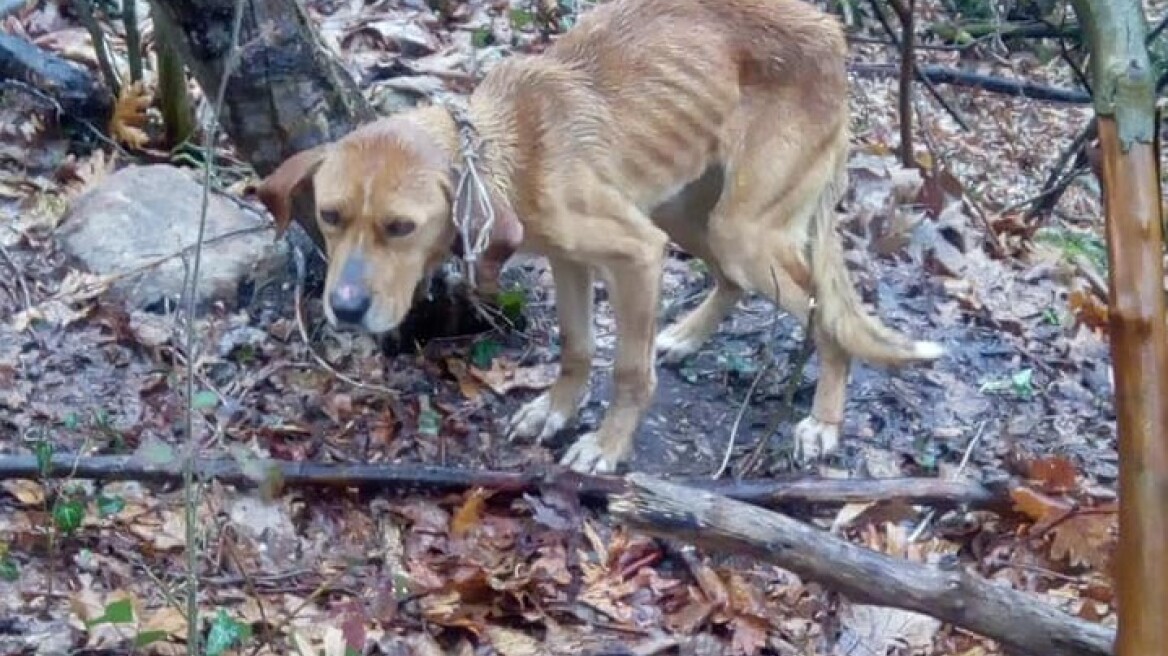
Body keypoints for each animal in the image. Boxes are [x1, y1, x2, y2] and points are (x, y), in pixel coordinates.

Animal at [253, 0, 939, 471]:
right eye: (331, 216)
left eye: (401, 227)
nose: (344, 311)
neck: (510, 147)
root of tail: (830, 31)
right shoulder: (572, 261)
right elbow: (576, 346)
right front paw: (556, 410)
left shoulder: (636, 254)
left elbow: (629, 370)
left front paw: (607, 445)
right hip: (687, 213)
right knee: (732, 280)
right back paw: (686, 336)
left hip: (739, 230)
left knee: (826, 318)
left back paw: (823, 420)